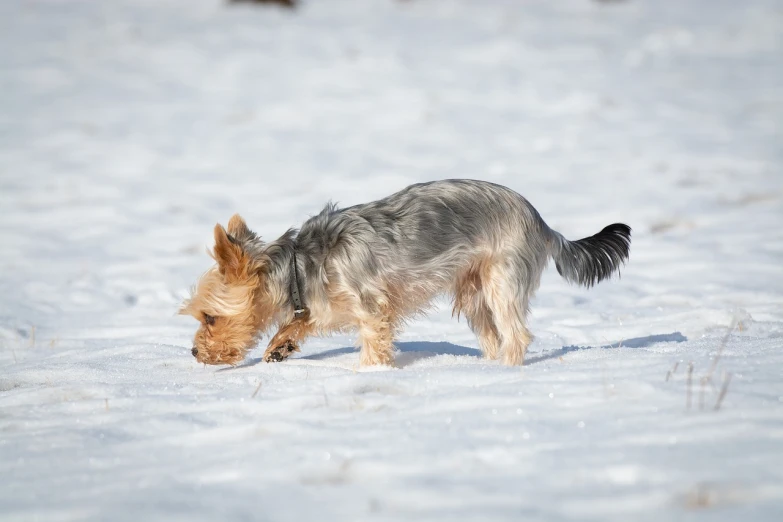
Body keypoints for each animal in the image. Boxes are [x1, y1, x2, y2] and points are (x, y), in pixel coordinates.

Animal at [179, 179, 632, 366]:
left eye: (209, 317)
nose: (195, 353)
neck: (298, 268)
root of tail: (542, 222)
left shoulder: (371, 306)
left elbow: (373, 344)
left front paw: (370, 375)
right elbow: (302, 321)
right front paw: (281, 345)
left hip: (501, 278)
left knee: (515, 334)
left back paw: (505, 374)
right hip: (471, 290)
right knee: (491, 334)